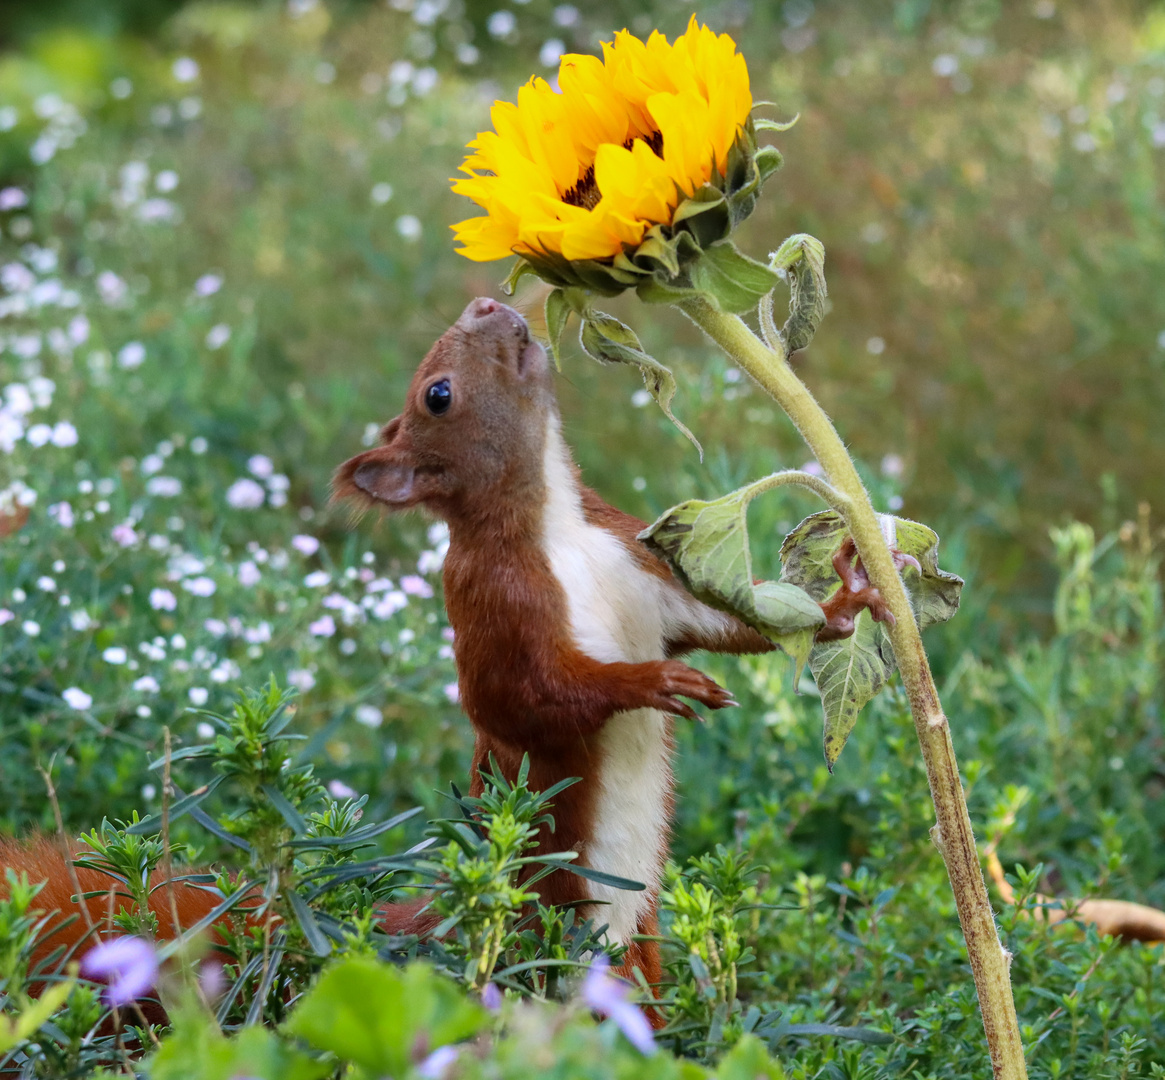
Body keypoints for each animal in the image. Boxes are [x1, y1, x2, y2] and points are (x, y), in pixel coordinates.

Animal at [6, 298, 773, 1015]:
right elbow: (527, 698)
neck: (558, 530)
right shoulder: (492, 604)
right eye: (437, 393)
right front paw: (658, 681)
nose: (485, 304)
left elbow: (728, 624)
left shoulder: (634, 559)